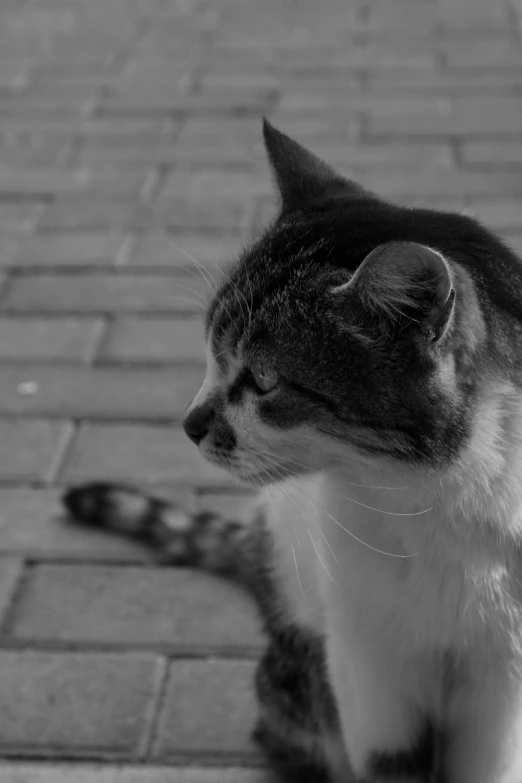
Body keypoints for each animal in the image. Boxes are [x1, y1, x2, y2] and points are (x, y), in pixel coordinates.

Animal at [62, 118, 522, 783]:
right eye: (211, 351)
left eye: (264, 380)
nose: (189, 423)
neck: (435, 498)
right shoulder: (367, 662)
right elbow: (387, 761)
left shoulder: (502, 683)